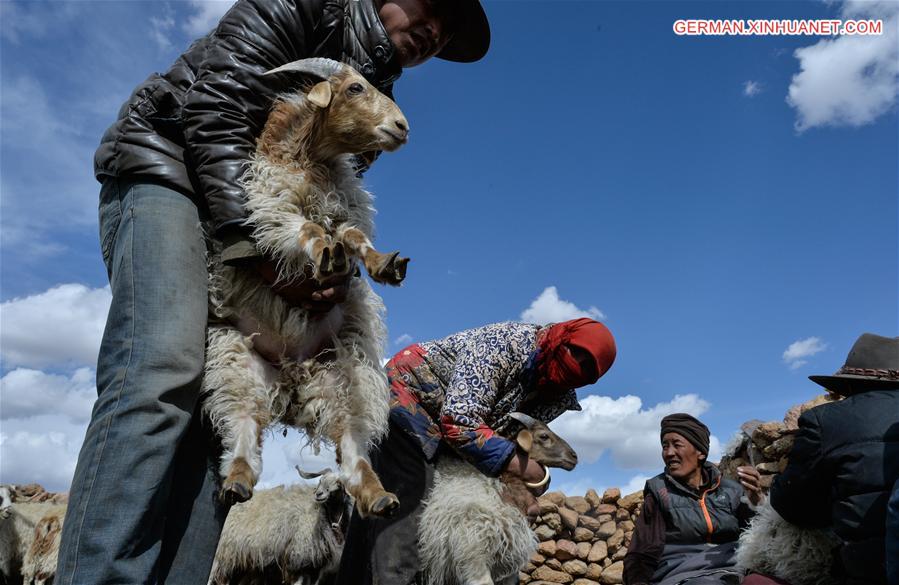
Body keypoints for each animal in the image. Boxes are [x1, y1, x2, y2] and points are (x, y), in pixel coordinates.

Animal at [202, 57, 410, 516]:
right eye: (354, 88)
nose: (403, 127)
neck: (317, 162)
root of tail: (294, 385)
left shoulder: (347, 212)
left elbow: (354, 237)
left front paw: (383, 264)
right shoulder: (274, 207)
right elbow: (310, 230)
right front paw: (326, 256)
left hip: (346, 377)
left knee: (352, 451)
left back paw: (379, 496)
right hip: (237, 364)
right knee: (244, 429)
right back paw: (236, 482)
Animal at [210, 466, 352, 584]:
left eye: (339, 484)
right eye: (320, 480)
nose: (319, 494)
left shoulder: (315, 569)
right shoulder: (296, 562)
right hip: (221, 557)